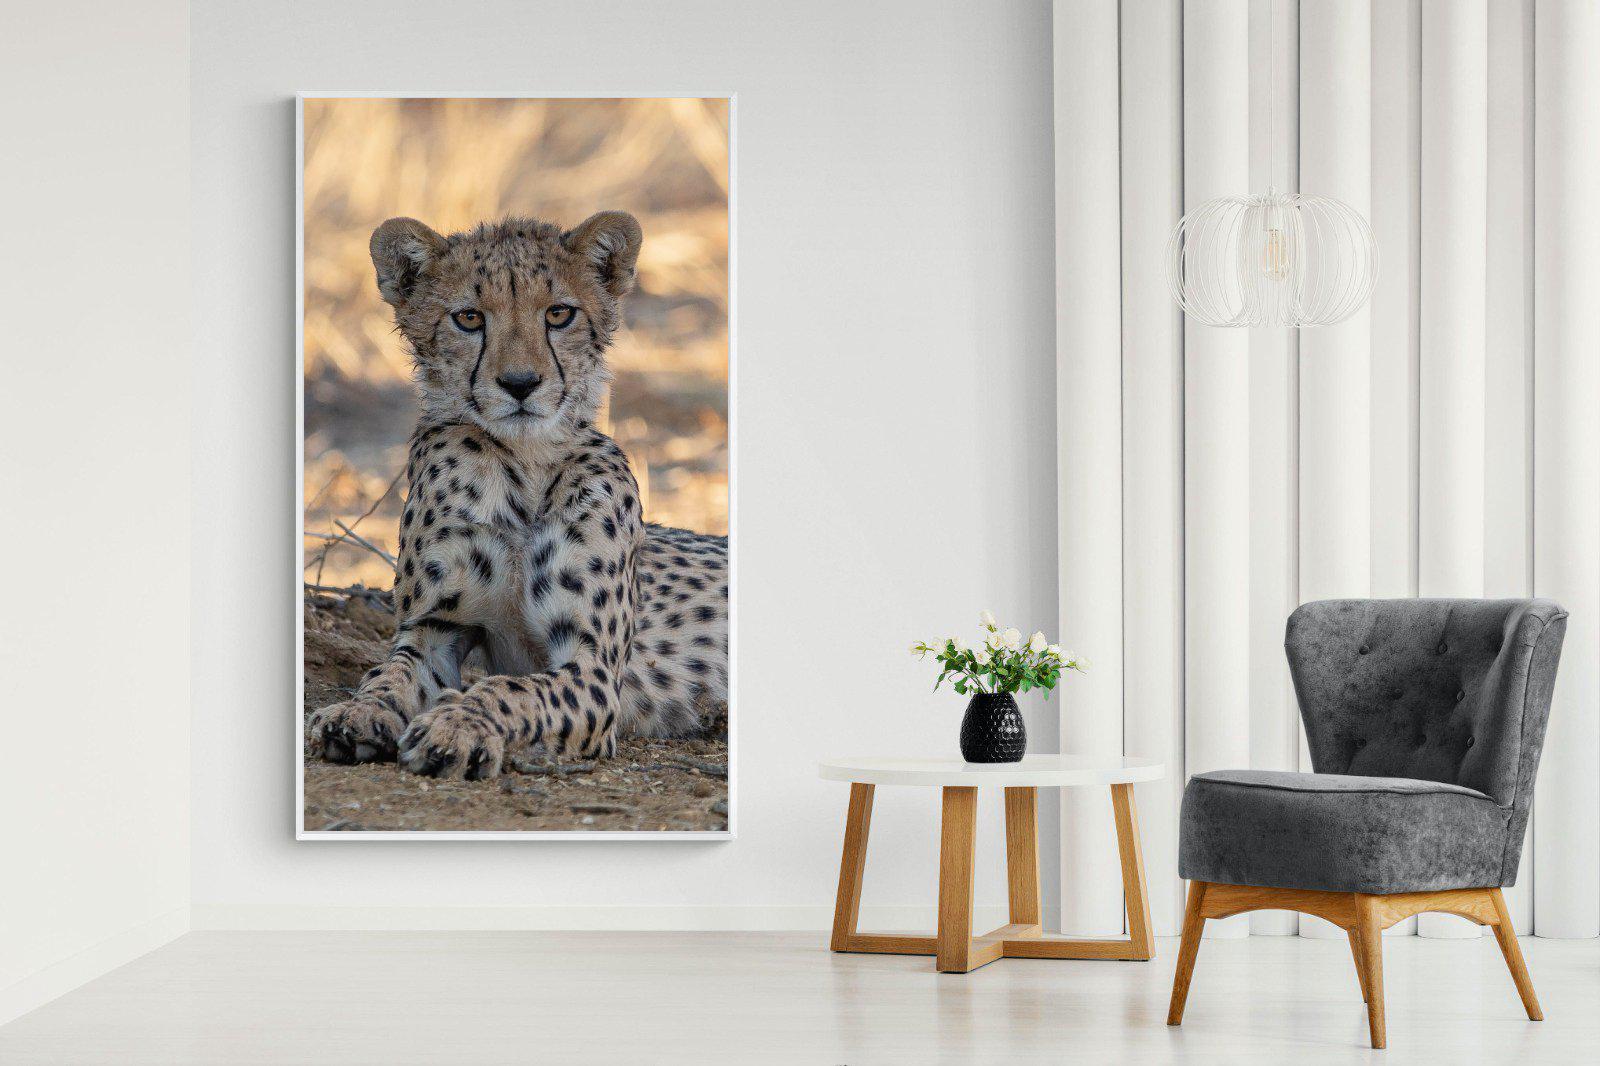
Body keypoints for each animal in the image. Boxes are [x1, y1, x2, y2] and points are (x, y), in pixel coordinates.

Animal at [305, 211, 728, 781]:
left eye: (558, 313)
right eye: (468, 318)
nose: (521, 383)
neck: (523, 466)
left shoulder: (593, 667)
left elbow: (513, 689)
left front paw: (457, 725)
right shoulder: (435, 629)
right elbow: (388, 674)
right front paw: (357, 712)